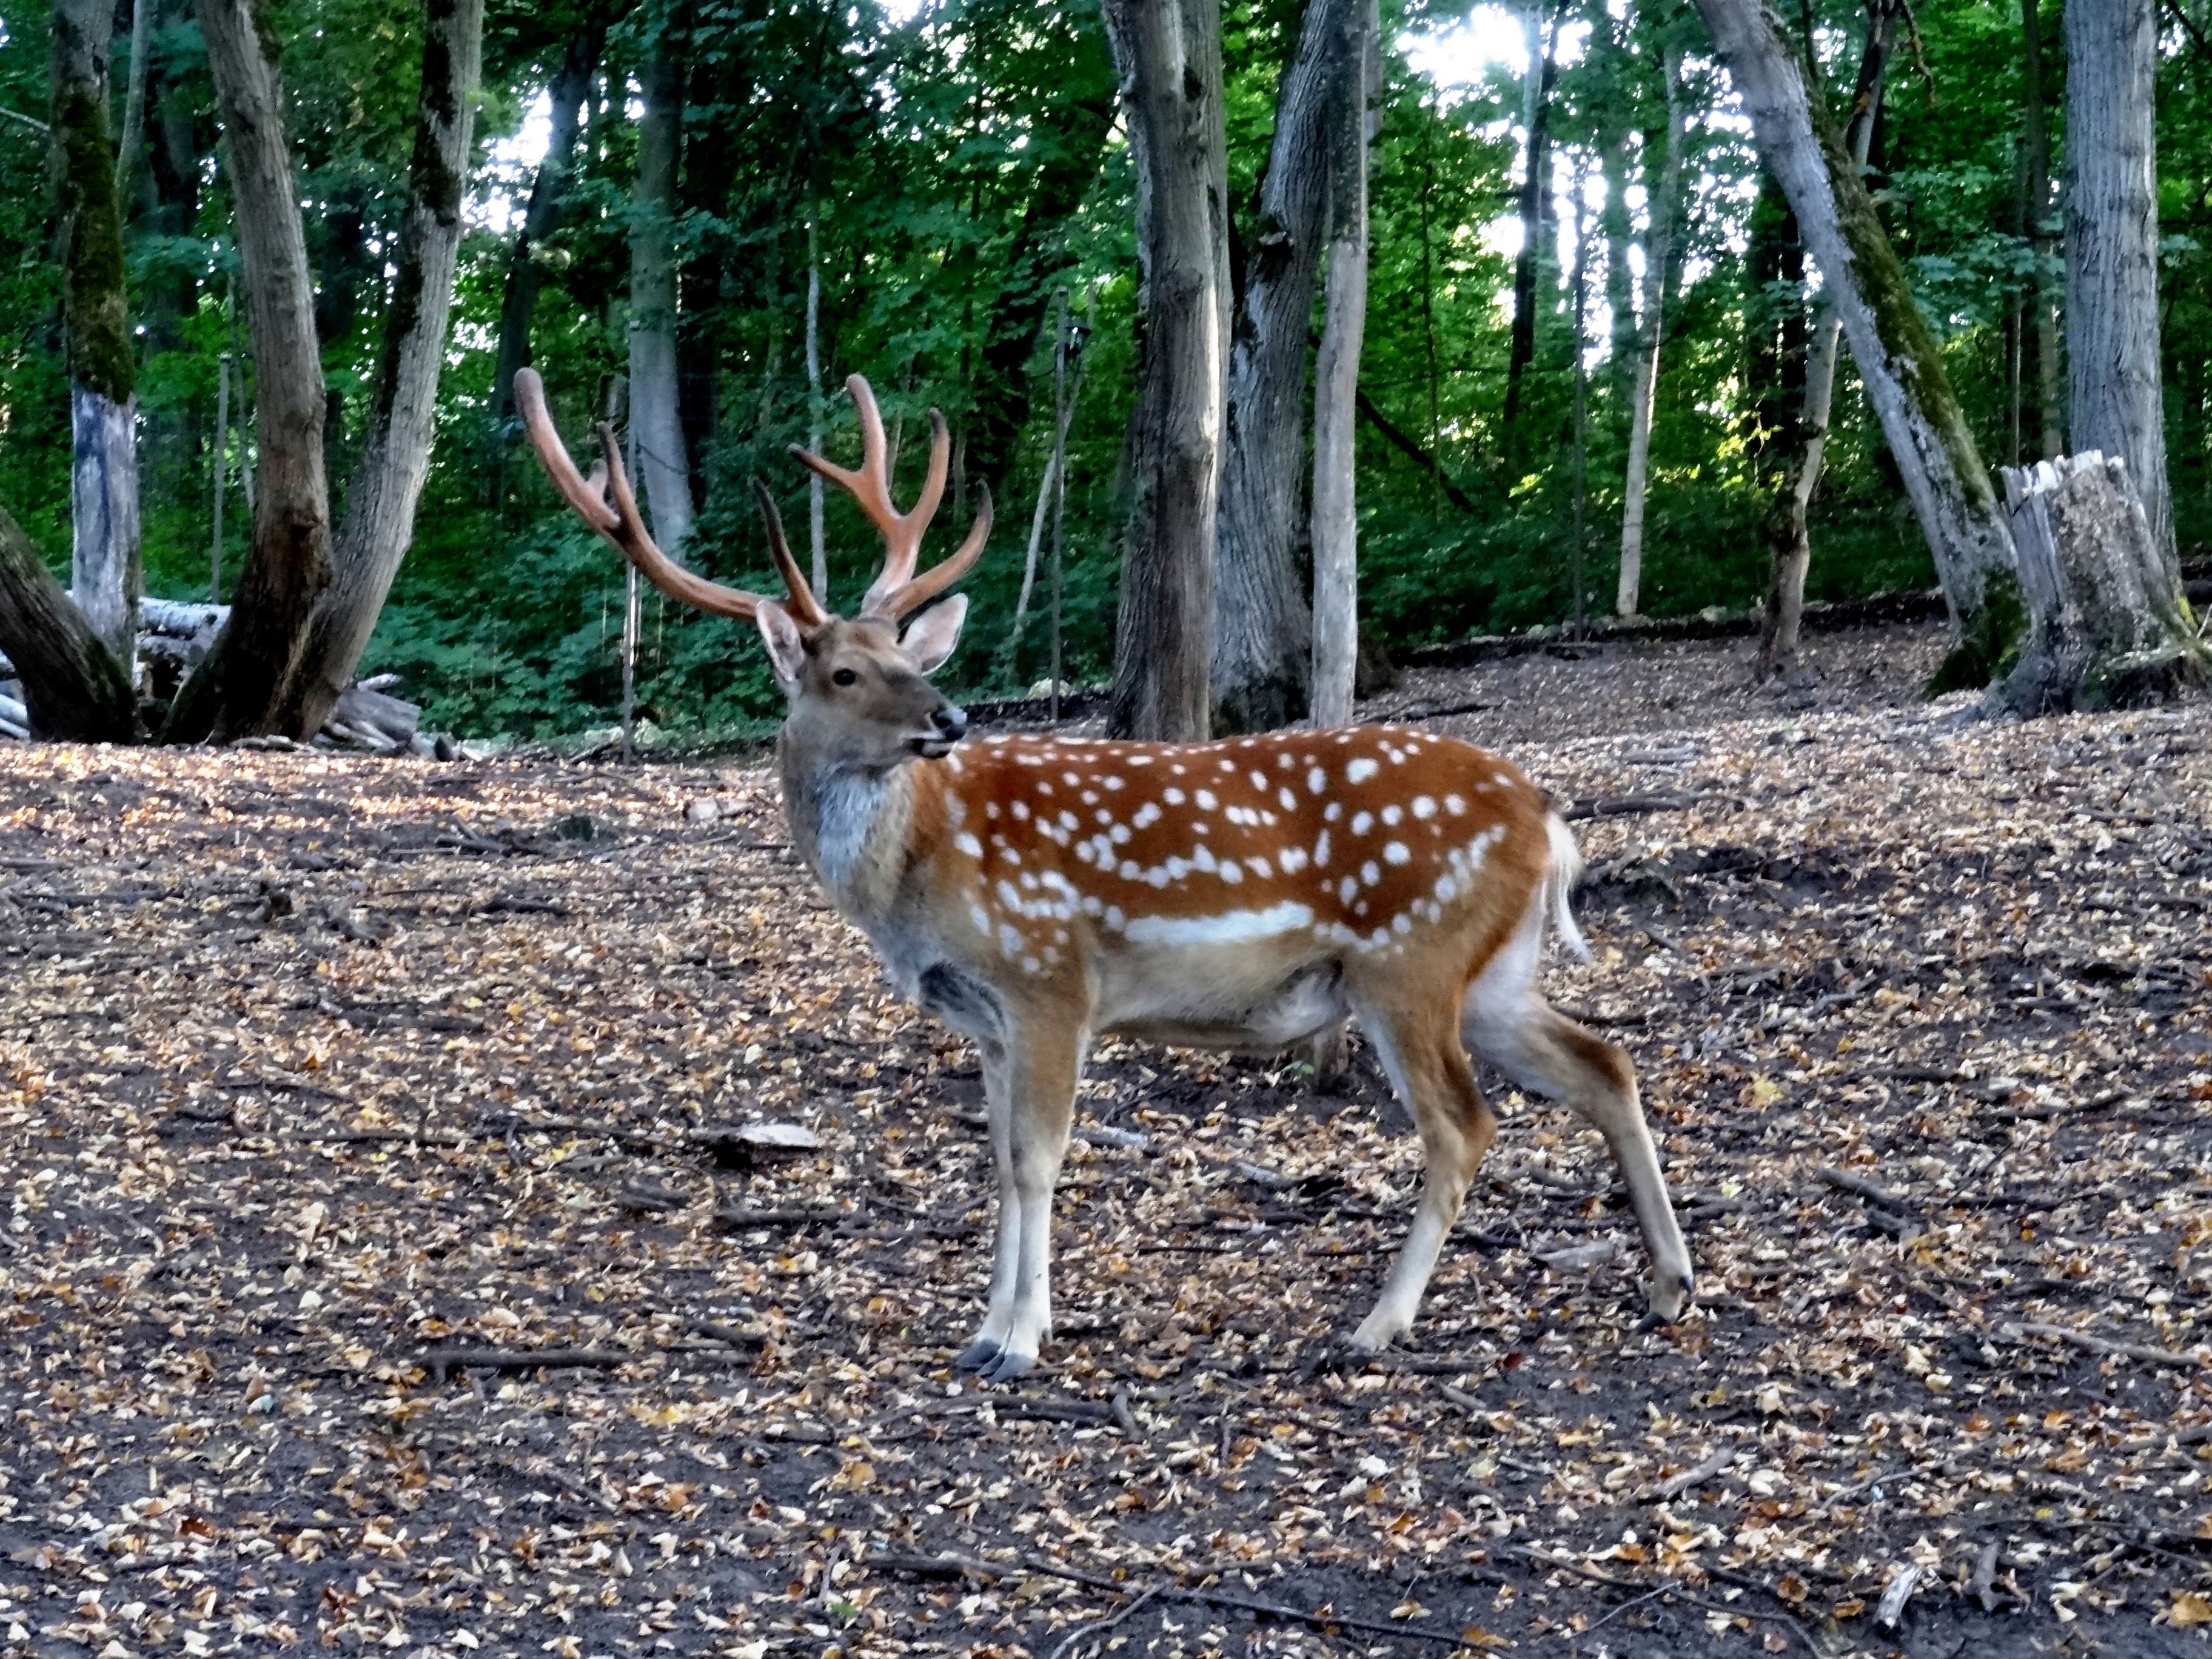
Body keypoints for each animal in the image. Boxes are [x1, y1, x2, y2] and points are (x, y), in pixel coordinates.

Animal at [513, 369, 1690, 1380]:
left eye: (906, 655)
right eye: (847, 671)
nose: (951, 717)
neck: (916, 882)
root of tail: (1546, 816)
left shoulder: (1049, 977)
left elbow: (1039, 1158)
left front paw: (1018, 1343)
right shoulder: (984, 1016)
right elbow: (996, 1162)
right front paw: (982, 1329)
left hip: (1409, 957)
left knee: (1463, 1125)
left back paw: (1375, 1325)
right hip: (1489, 970)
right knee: (1604, 1061)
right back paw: (1670, 1283)